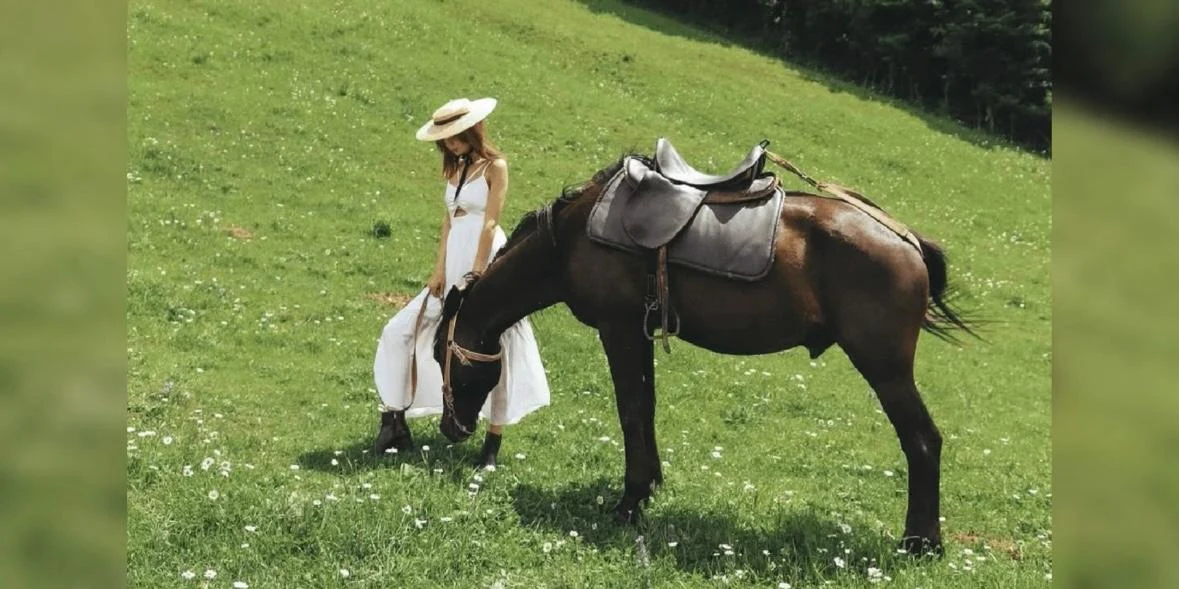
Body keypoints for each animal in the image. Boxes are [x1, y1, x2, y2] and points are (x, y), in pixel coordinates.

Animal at [429, 148, 975, 557]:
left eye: (439, 354)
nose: (452, 428)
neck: (568, 239)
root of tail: (906, 239)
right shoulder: (639, 332)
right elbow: (645, 409)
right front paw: (648, 487)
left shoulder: (618, 329)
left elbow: (631, 410)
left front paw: (628, 503)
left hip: (884, 368)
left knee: (923, 441)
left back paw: (921, 543)